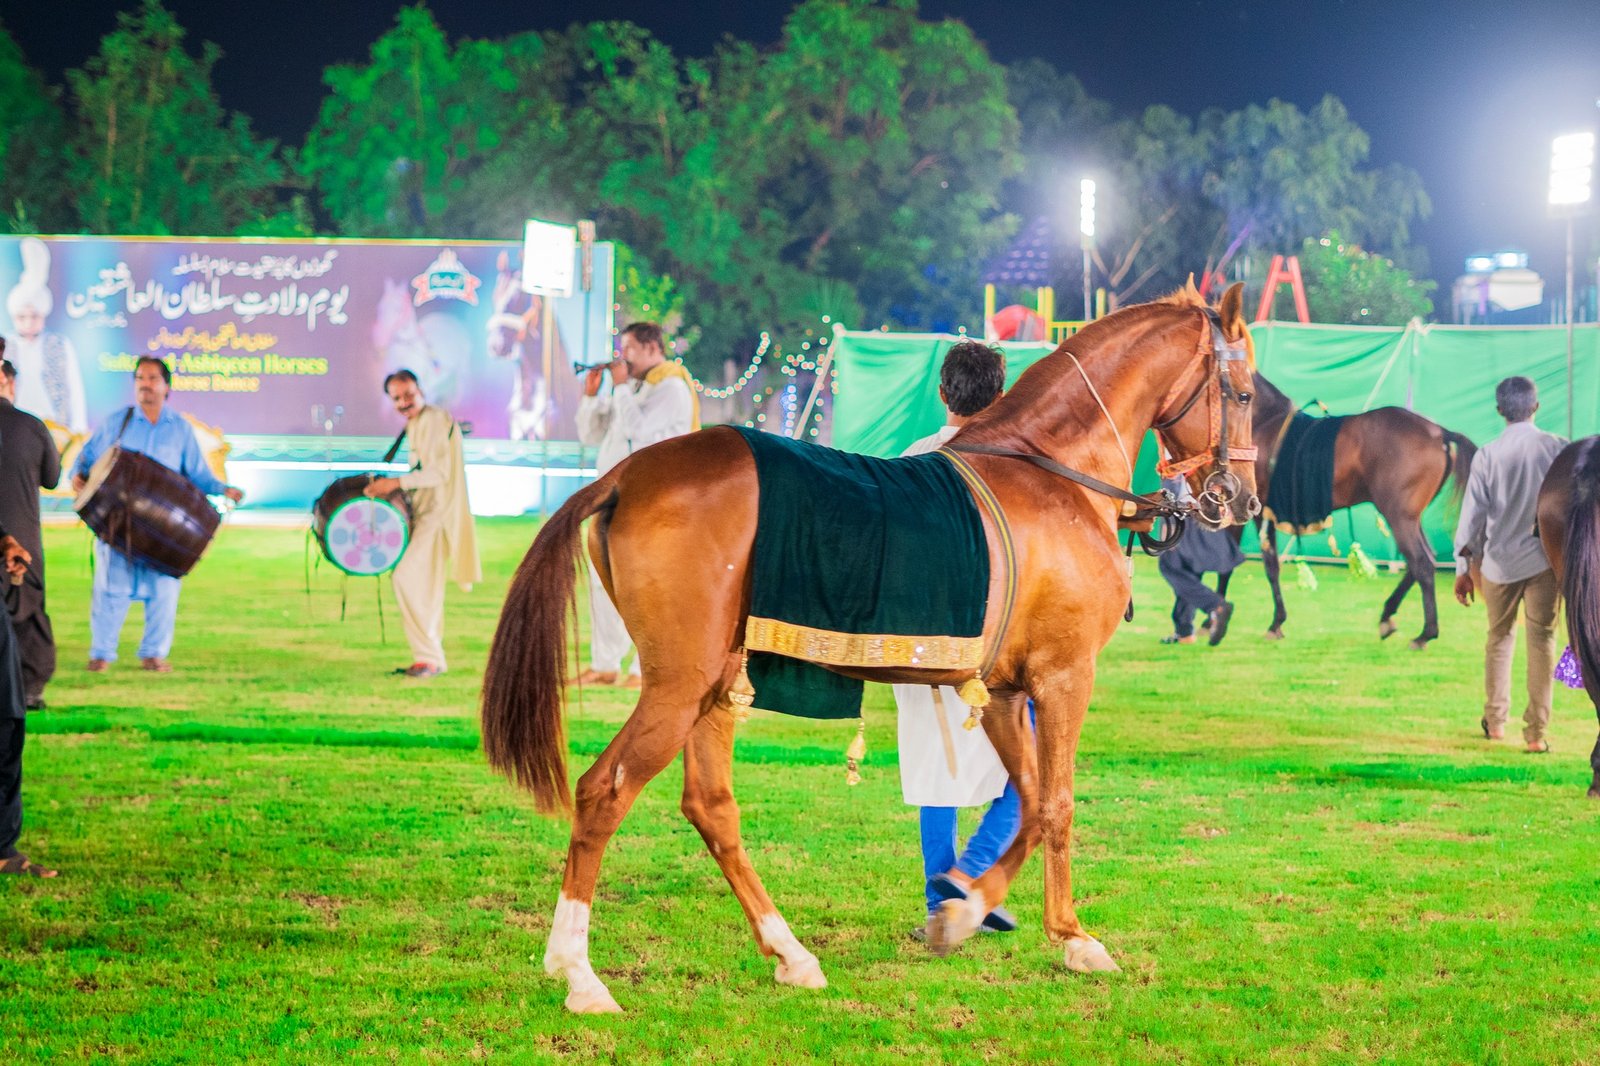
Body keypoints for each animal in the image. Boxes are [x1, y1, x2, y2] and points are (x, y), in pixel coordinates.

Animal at [480, 285, 1260, 1013]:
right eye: (1246, 391)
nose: (1241, 498)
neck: (1052, 473)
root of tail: (628, 474)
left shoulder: (1003, 690)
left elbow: (1030, 800)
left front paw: (965, 910)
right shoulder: (1065, 676)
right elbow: (1057, 804)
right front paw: (1072, 938)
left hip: (716, 683)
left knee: (711, 806)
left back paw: (791, 954)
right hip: (678, 684)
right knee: (603, 792)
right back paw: (579, 973)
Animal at [1217, 372, 1476, 649]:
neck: (1262, 421)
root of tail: (1439, 433)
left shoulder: (1245, 509)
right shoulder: (1263, 513)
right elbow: (1271, 566)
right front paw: (1276, 623)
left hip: (1399, 516)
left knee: (1421, 563)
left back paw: (1425, 633)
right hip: (1410, 518)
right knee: (1424, 559)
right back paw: (1389, 616)